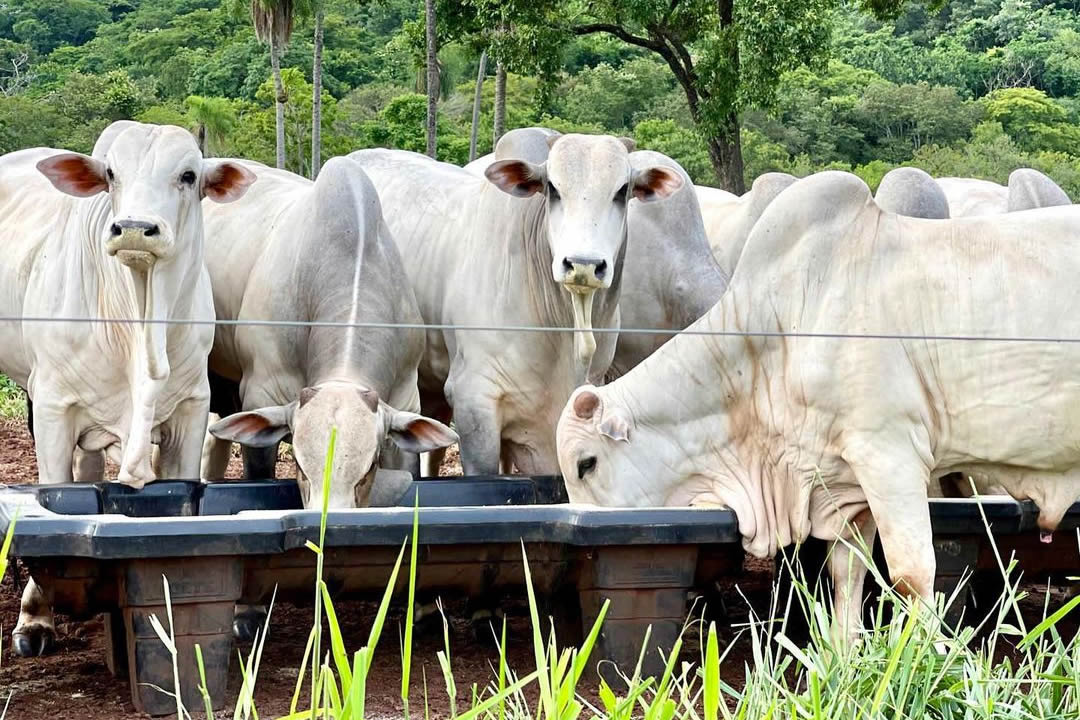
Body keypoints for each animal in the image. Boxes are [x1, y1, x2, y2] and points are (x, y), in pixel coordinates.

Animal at [0, 119, 254, 660]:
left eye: (188, 175)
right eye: (111, 174)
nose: (135, 228)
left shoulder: (192, 412)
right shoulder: (51, 407)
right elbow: (49, 508)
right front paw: (35, 617)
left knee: (90, 467)